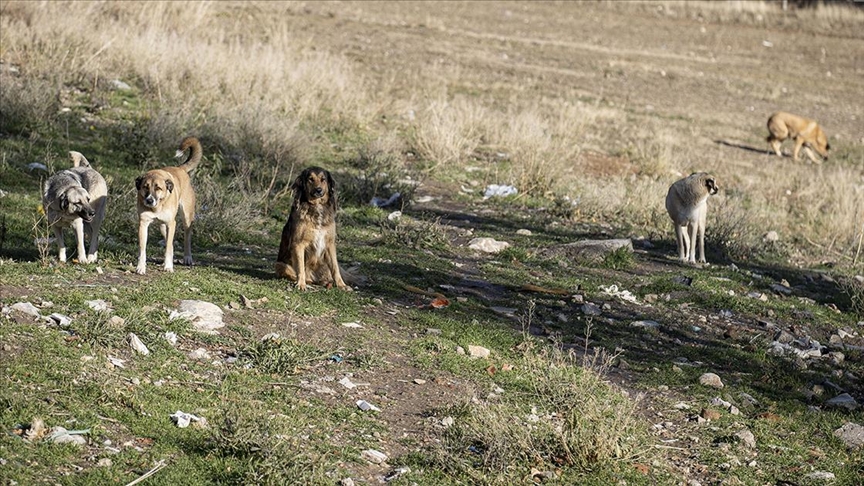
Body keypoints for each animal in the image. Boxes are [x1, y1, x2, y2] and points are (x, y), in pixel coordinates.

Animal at [134, 137, 202, 276]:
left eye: (158, 188)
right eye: (145, 187)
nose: (149, 200)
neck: (157, 207)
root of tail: (180, 169)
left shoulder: (172, 223)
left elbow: (169, 247)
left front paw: (168, 266)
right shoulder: (143, 224)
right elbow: (142, 249)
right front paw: (141, 267)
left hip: (186, 218)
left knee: (186, 238)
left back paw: (187, 257)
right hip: (162, 226)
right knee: (169, 242)